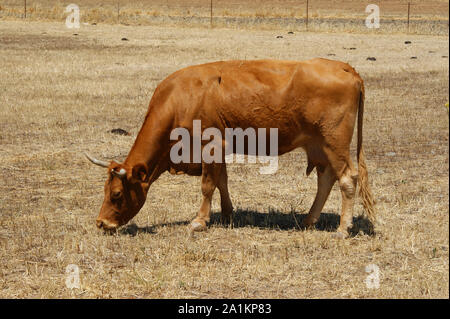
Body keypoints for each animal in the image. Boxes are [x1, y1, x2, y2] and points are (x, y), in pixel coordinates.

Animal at [86, 58, 374, 239]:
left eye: (116, 194)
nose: (101, 223)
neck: (180, 99)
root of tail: (345, 68)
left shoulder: (210, 146)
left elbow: (207, 185)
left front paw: (199, 221)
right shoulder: (220, 150)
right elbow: (221, 181)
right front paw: (227, 214)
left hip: (334, 143)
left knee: (347, 179)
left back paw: (343, 228)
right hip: (318, 146)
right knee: (326, 179)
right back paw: (309, 220)